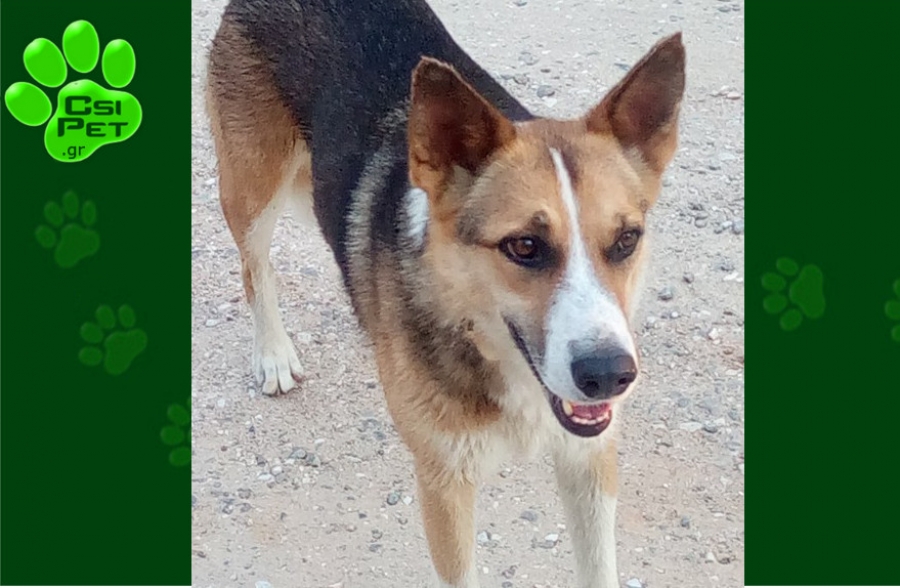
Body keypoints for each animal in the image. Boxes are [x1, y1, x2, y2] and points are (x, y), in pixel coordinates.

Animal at [206, 1, 684, 585]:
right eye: (524, 246)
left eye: (626, 240)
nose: (610, 376)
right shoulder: (445, 484)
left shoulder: (588, 462)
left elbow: (599, 568)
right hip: (251, 187)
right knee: (254, 267)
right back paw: (274, 353)